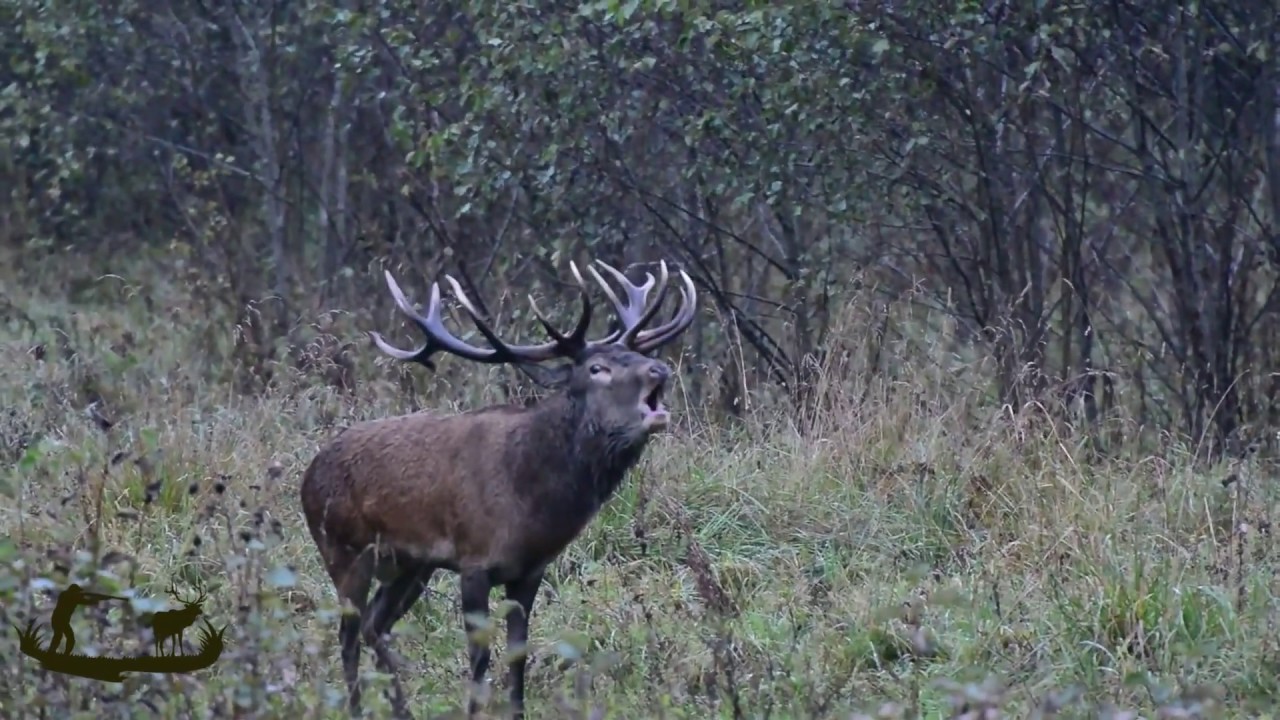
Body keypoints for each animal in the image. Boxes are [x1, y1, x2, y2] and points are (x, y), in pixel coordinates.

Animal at [300, 258, 698, 719]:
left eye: (639, 354)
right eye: (597, 368)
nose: (659, 370)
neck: (532, 504)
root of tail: (307, 476)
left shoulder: (529, 571)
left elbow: (517, 655)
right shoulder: (474, 560)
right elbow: (479, 656)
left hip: (410, 566)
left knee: (374, 626)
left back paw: (401, 709)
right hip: (343, 550)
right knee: (348, 634)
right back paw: (357, 708)